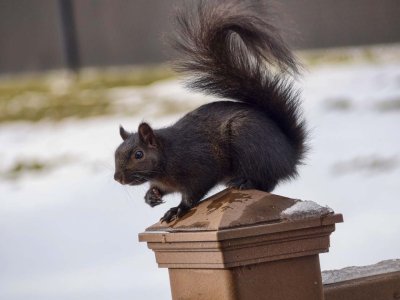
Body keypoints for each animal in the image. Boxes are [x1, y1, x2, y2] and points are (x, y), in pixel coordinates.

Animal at [114, 0, 308, 223]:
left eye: (139, 154)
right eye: (116, 153)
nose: (117, 178)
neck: (167, 156)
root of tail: (289, 155)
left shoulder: (200, 167)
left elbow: (194, 192)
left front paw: (178, 208)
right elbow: (159, 189)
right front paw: (151, 196)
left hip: (249, 143)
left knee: (267, 181)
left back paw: (244, 182)